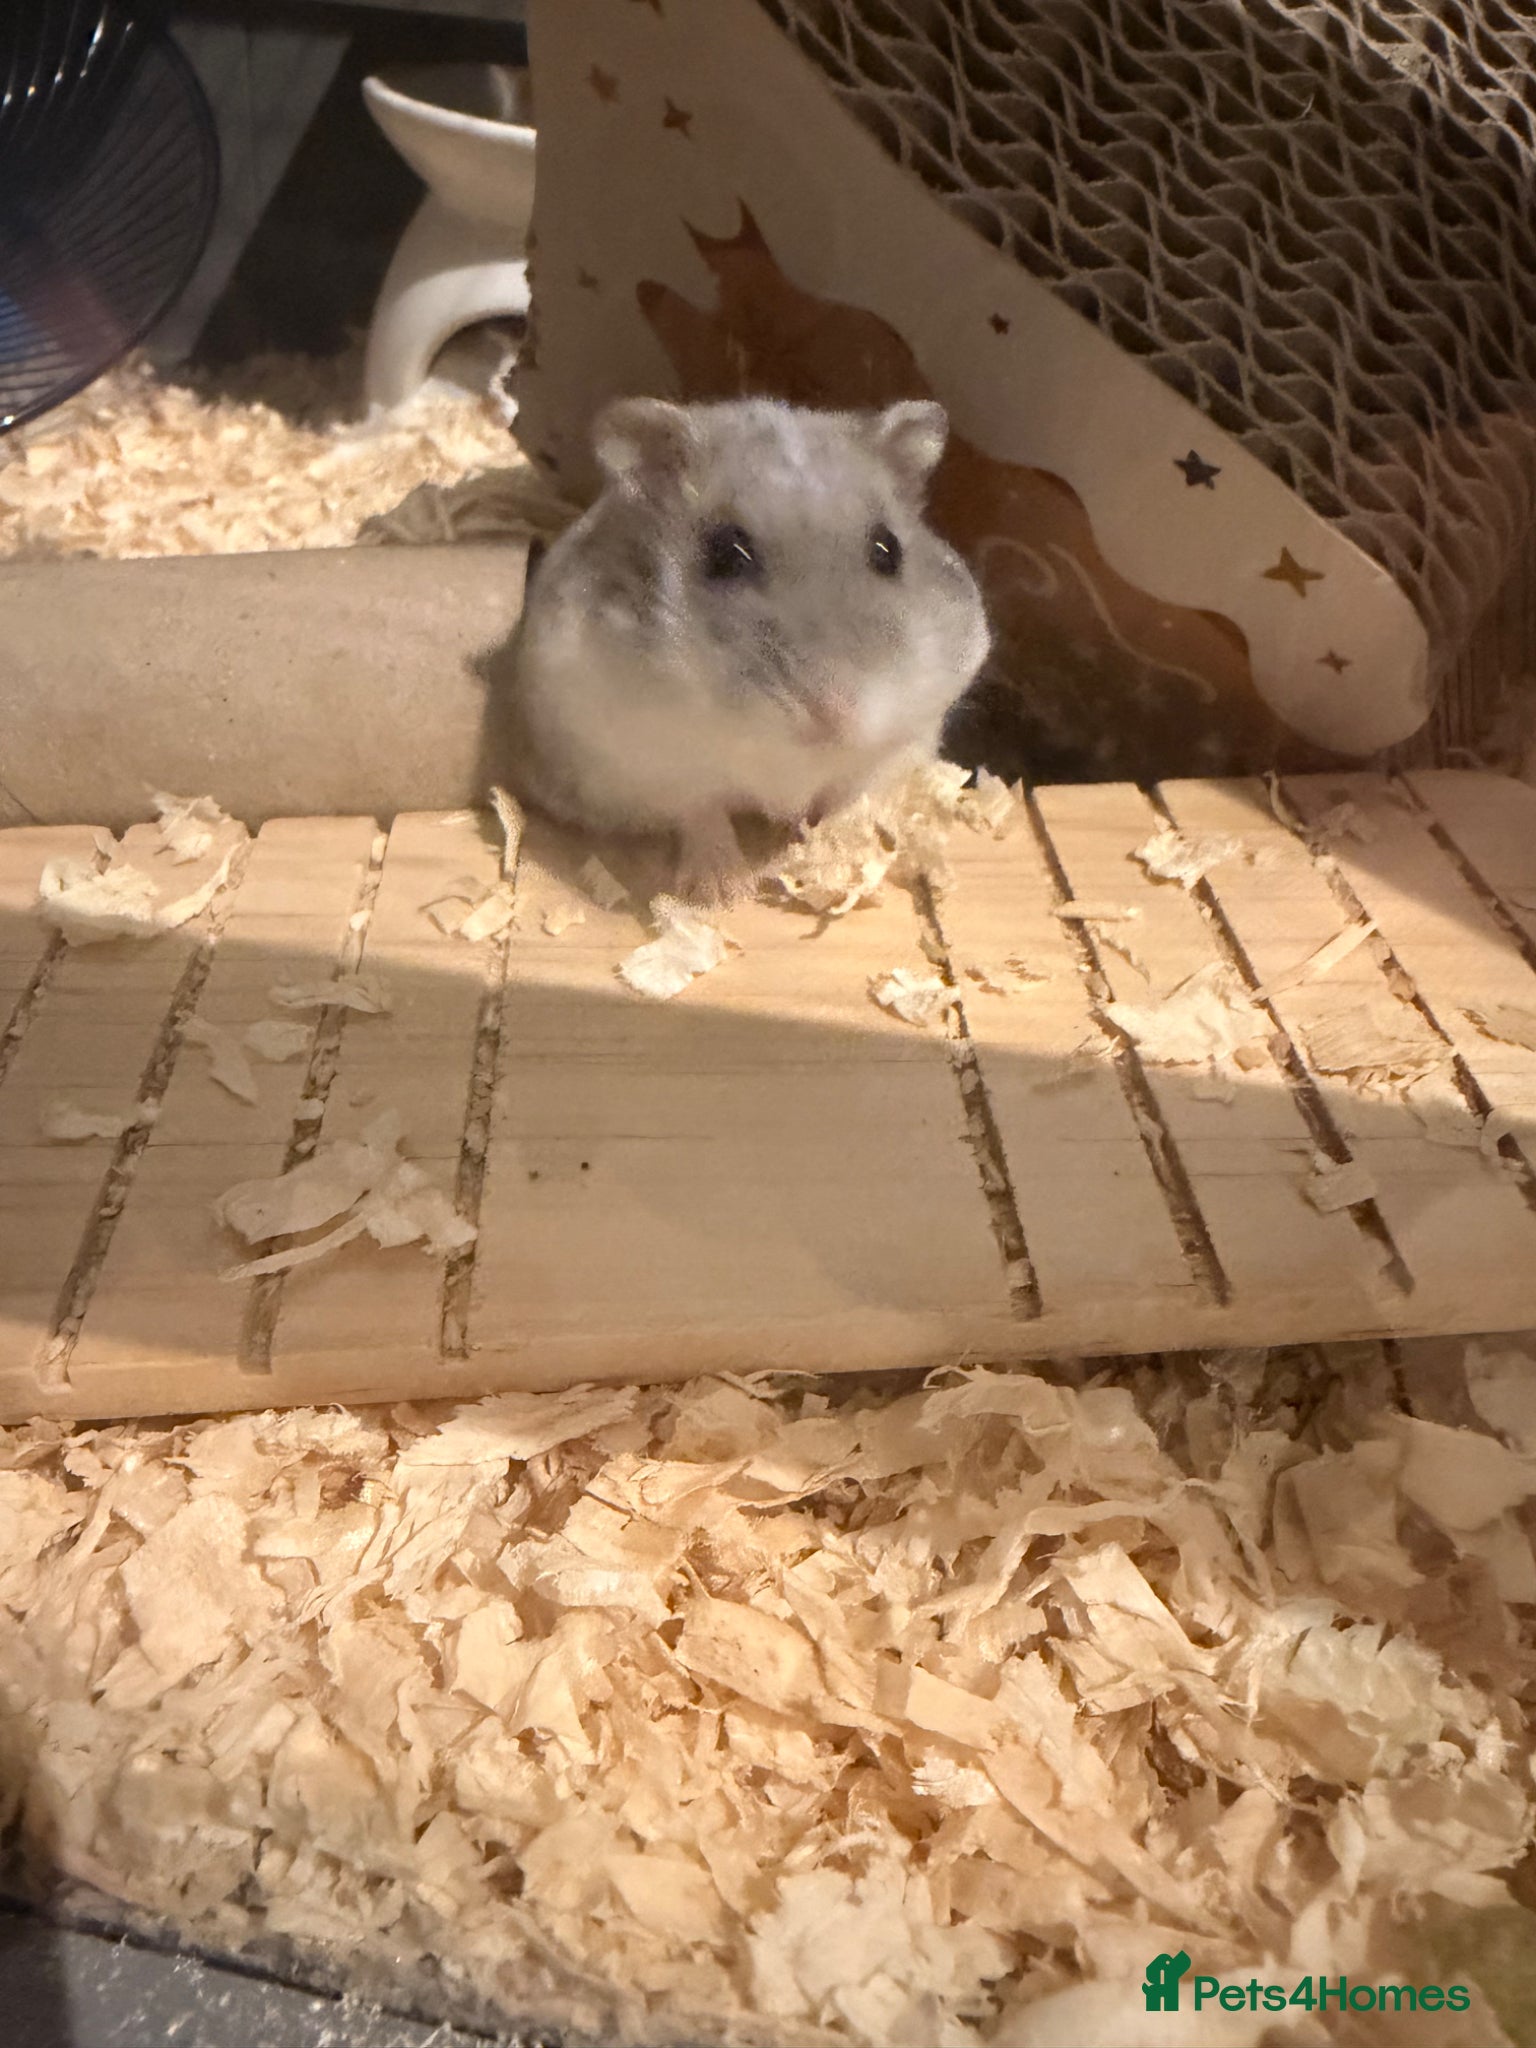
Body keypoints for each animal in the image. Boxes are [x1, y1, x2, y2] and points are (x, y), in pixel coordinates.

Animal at [498, 395, 991, 904]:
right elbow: (702, 812)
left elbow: (848, 804)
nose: (834, 717)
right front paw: (721, 893)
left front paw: (829, 852)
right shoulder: (642, 756)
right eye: (727, 554)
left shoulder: (899, 743)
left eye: (888, 550)